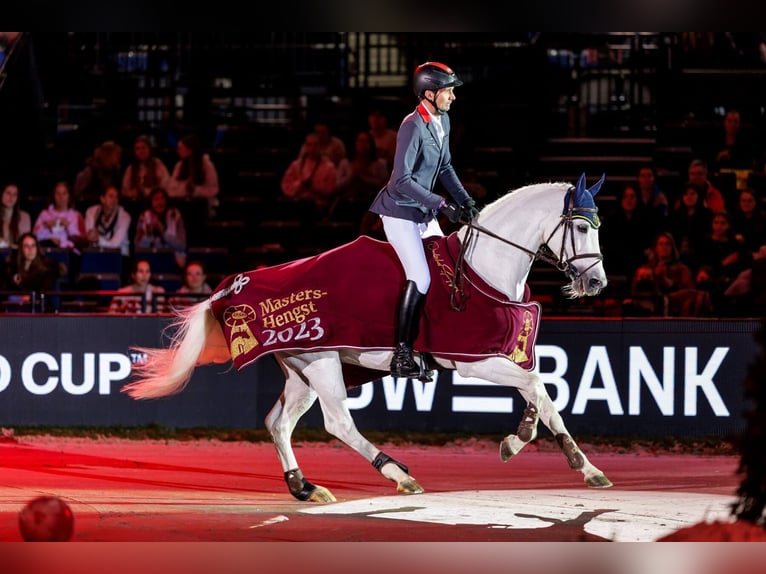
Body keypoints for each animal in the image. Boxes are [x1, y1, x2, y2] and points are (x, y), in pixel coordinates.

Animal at [127, 176, 616, 504]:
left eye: (598, 226)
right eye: (581, 228)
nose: (596, 283)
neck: (485, 268)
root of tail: (235, 286)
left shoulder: (503, 355)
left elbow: (538, 392)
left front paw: (528, 443)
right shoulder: (475, 359)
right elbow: (537, 387)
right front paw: (579, 464)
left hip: (303, 368)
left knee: (278, 423)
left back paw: (304, 487)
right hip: (323, 362)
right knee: (337, 423)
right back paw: (398, 475)